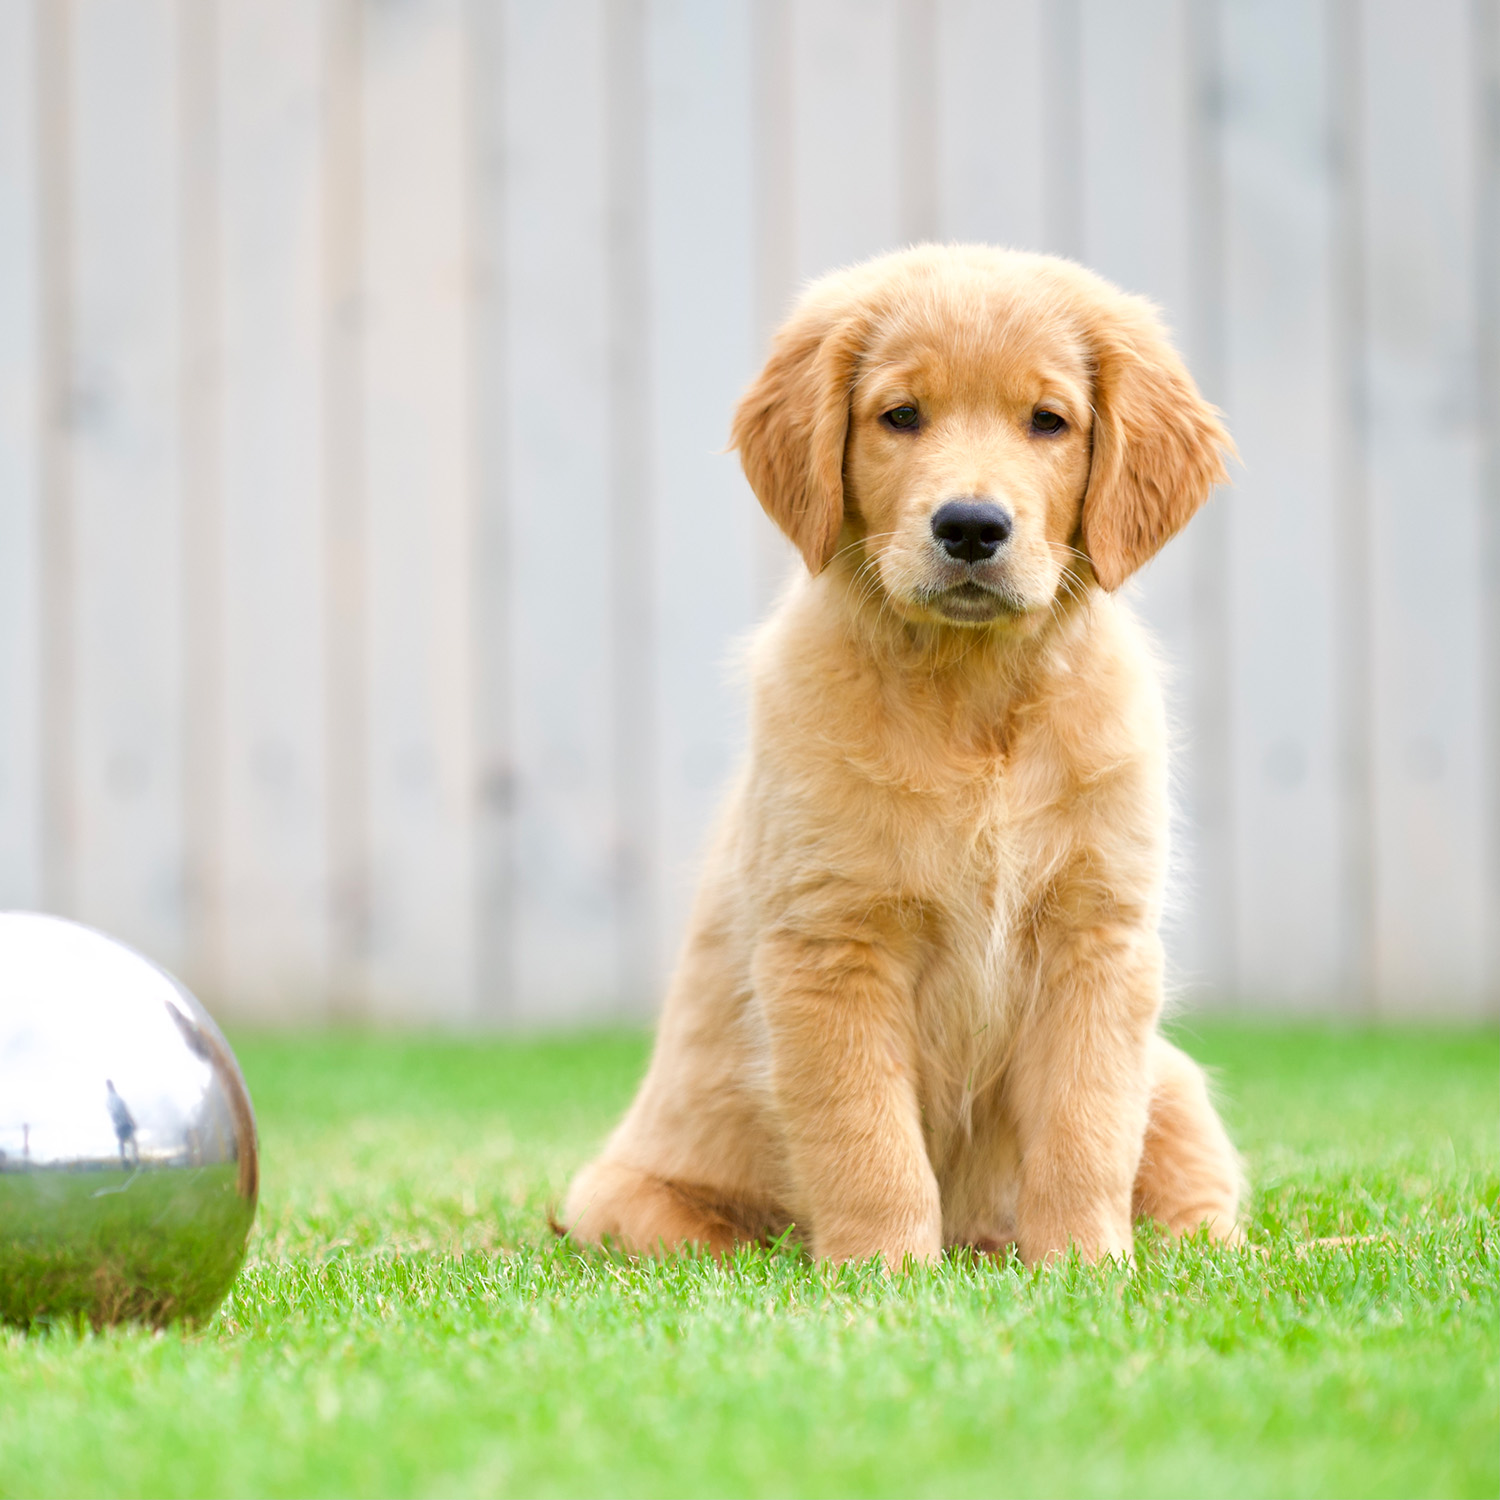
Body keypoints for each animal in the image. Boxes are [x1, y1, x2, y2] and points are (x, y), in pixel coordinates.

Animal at [564, 246, 1242, 1266]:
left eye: (1048, 421)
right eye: (901, 416)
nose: (969, 527)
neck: (970, 698)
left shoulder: (1099, 937)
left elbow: (1085, 1129)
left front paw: (1086, 1267)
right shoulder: (831, 944)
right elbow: (866, 1137)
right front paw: (884, 1273)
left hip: (1176, 1083)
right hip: (628, 1205)